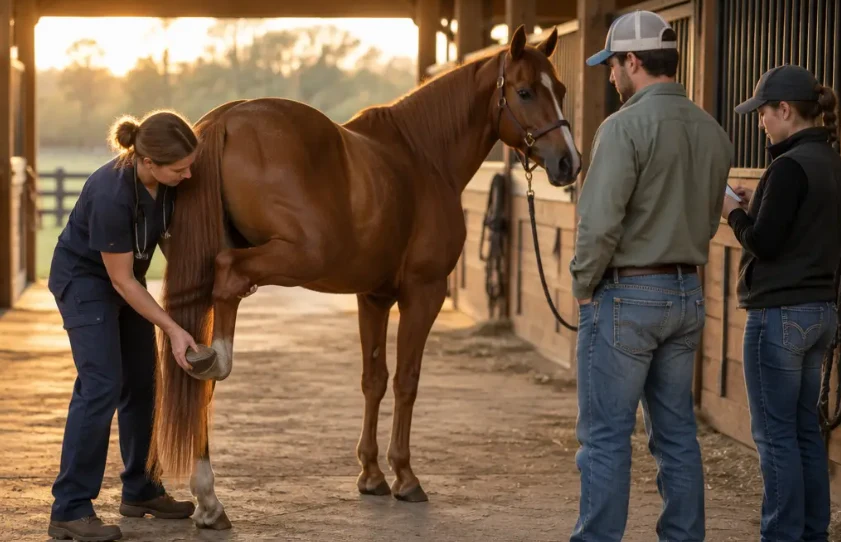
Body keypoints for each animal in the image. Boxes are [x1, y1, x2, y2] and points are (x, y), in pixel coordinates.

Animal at [146, 24, 582, 530]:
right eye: (526, 91)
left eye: (562, 90)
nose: (569, 163)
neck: (422, 155)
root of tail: (227, 119)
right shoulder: (422, 293)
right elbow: (407, 380)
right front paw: (405, 477)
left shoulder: (372, 297)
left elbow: (373, 378)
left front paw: (371, 474)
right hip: (294, 257)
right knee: (228, 282)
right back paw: (215, 372)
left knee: (198, 360)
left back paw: (209, 496)